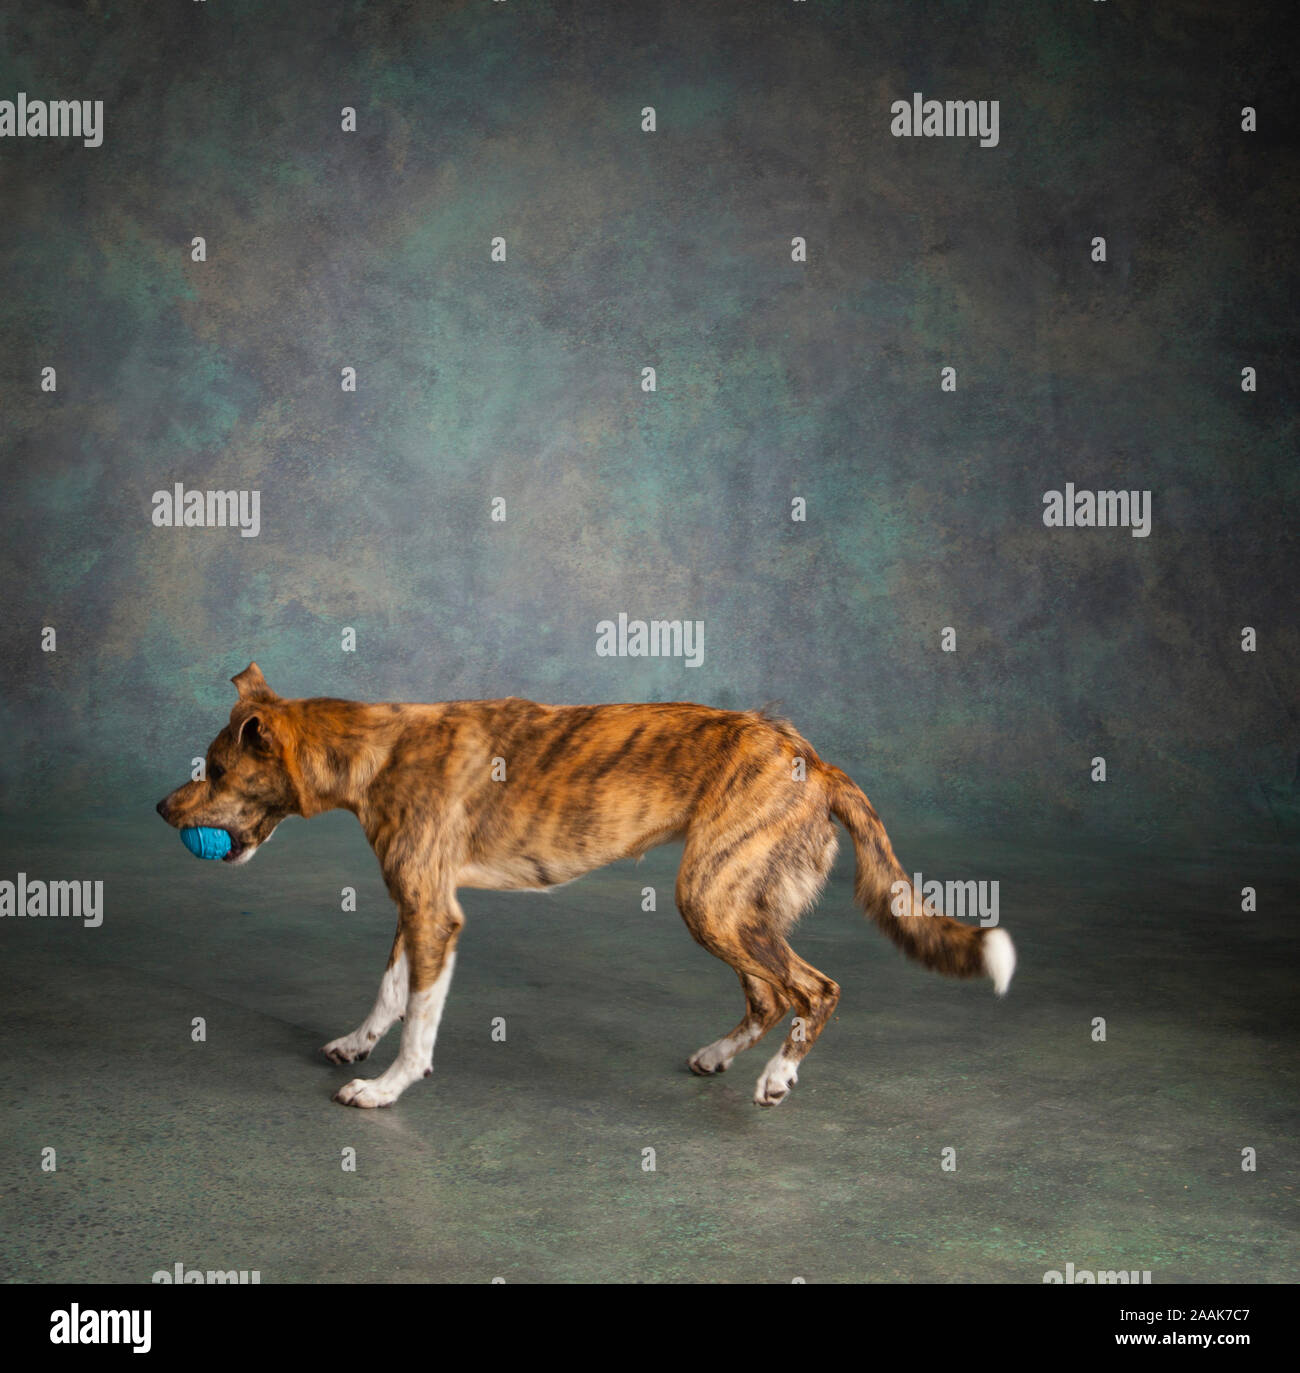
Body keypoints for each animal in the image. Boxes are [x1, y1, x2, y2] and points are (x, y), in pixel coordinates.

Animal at [155, 661, 1015, 1103]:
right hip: (733, 904)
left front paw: (390, 1085)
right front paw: (357, 1045)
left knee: (815, 989)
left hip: (710, 897)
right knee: (771, 994)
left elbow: (420, 1018)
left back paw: (778, 1076)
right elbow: (391, 990)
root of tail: (816, 757)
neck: (379, 745)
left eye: (217, 770)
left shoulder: (434, 913)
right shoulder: (415, 904)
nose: (161, 808)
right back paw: (719, 1056)